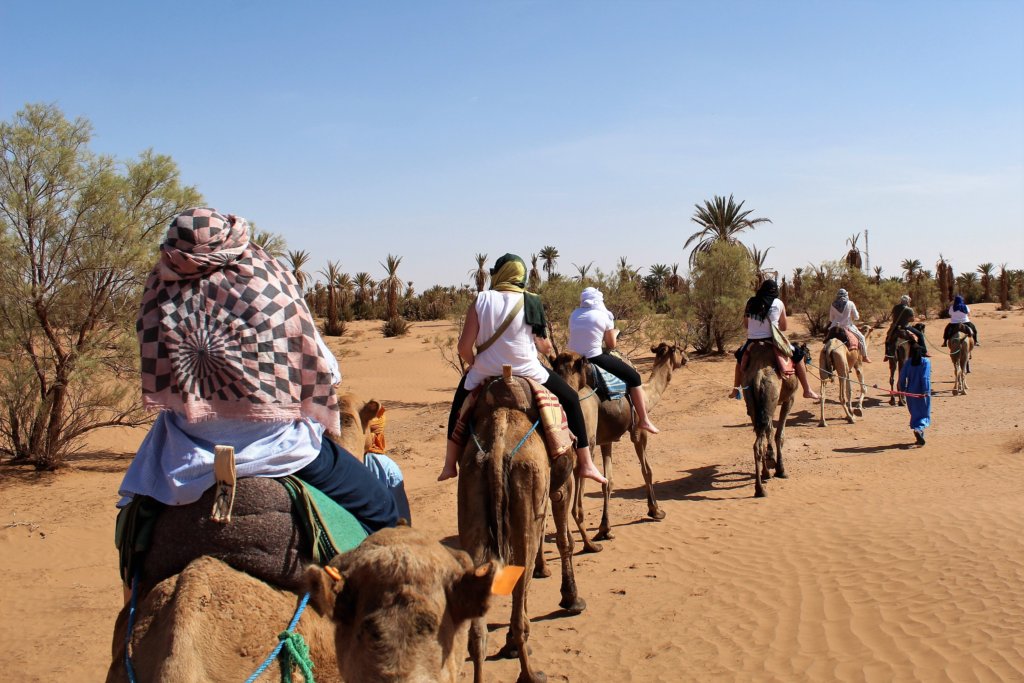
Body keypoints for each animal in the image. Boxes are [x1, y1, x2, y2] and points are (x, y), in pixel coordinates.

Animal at [458, 370, 585, 679]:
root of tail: (498, 442)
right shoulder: (560, 486)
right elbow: (564, 542)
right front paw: (571, 598)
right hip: (529, 480)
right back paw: (530, 674)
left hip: (471, 490)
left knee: (478, 630)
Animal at [552, 344, 688, 552]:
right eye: (680, 349)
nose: (687, 358)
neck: (647, 395)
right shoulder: (638, 431)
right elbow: (647, 470)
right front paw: (655, 510)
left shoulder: (606, 440)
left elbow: (608, 481)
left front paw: (605, 529)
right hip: (587, 439)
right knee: (577, 488)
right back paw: (588, 544)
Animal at [745, 339, 798, 497]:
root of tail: (758, 377)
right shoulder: (789, 399)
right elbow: (780, 435)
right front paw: (781, 469)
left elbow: (770, 431)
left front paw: (771, 462)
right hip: (772, 398)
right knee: (761, 441)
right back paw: (761, 489)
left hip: (753, 404)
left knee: (758, 443)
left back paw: (762, 481)